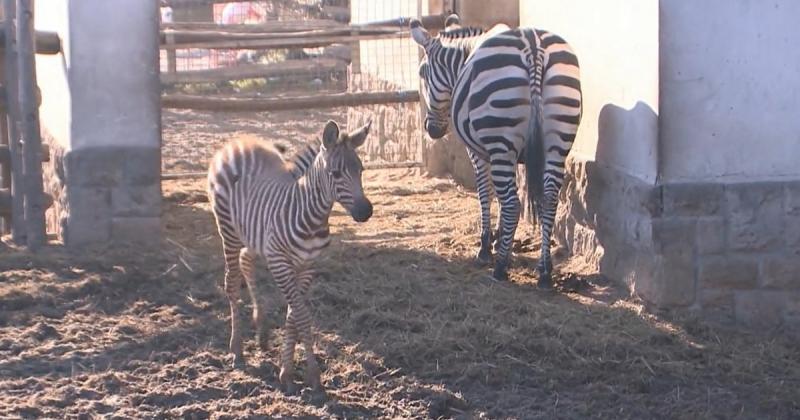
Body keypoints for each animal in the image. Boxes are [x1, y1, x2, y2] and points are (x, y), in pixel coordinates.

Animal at [208, 119, 374, 394]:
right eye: (335, 174)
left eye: (361, 170)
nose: (365, 211)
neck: (310, 216)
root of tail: (237, 142)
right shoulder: (279, 263)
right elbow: (302, 316)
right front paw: (312, 375)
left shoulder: (308, 266)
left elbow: (293, 316)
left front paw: (287, 371)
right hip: (228, 231)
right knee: (231, 283)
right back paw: (237, 350)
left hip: (254, 234)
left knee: (246, 260)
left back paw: (262, 332)